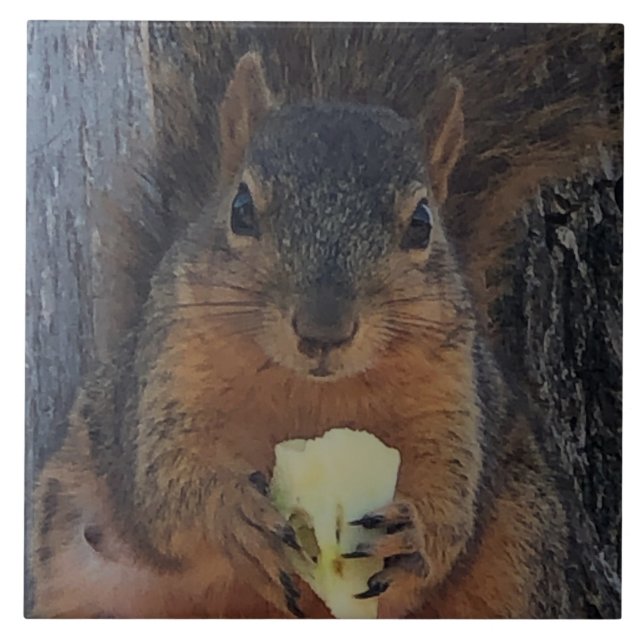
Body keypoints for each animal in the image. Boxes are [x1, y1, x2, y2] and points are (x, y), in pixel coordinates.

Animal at [30, 51, 573, 618]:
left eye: (422, 222)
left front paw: (413, 534)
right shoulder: (170, 378)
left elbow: (450, 501)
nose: (323, 330)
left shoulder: (452, 402)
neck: (311, 394)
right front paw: (233, 514)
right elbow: (167, 486)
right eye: (241, 209)